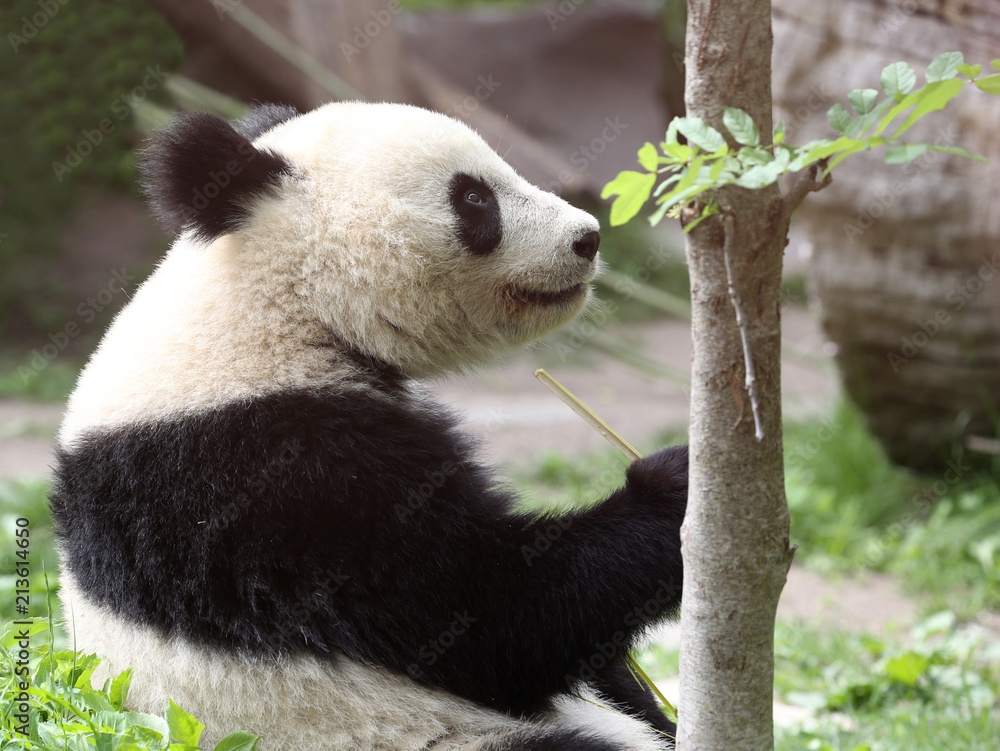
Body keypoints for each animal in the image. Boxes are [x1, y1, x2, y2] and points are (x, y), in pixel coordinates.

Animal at [50, 102, 688, 751]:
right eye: (474, 198)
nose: (587, 237)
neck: (273, 302)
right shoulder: (262, 475)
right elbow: (488, 616)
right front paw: (674, 486)